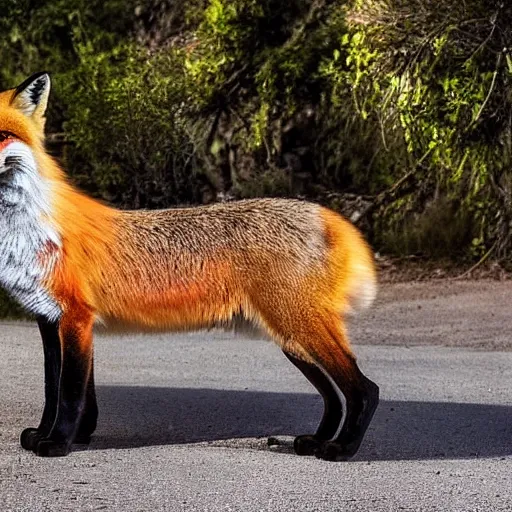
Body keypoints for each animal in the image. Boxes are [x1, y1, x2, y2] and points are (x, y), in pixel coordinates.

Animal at [1, 71, 380, 460]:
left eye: (2, 135)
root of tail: (323, 212)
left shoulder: (76, 319)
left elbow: (70, 394)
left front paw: (59, 442)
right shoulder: (51, 321)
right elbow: (55, 390)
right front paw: (64, 435)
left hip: (301, 329)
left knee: (364, 390)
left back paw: (342, 447)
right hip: (292, 339)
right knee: (333, 396)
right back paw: (318, 440)